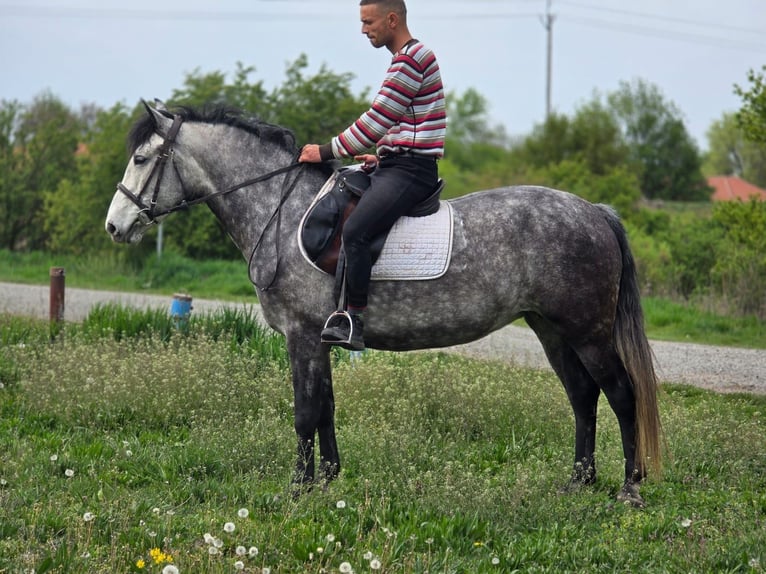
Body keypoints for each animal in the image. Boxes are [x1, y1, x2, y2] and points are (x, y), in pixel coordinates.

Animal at [105, 102, 662, 507]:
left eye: (140, 159)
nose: (114, 226)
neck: (281, 210)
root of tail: (594, 211)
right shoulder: (321, 338)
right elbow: (326, 408)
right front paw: (327, 479)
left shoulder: (302, 336)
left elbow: (305, 412)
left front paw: (297, 488)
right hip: (551, 330)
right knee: (582, 397)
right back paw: (579, 481)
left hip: (588, 332)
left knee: (621, 395)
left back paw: (629, 488)